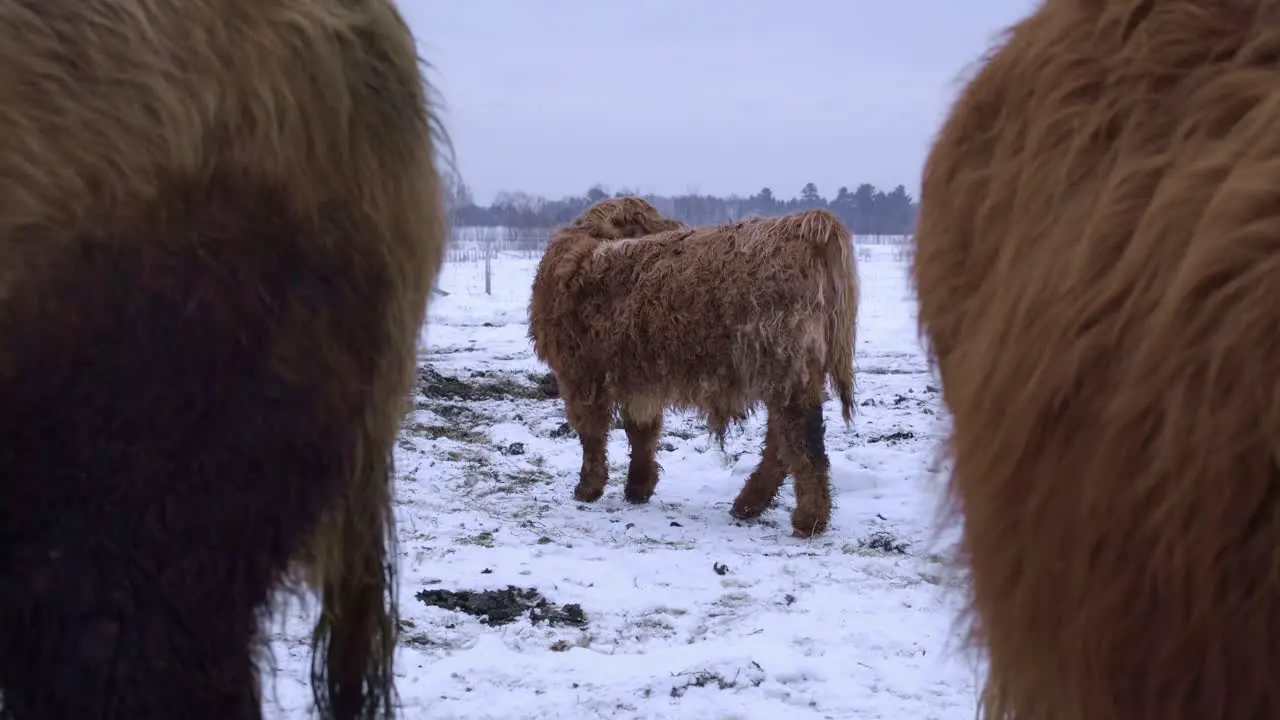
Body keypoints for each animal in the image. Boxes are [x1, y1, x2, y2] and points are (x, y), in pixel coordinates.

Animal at [529, 198, 860, 535]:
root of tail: (808, 227)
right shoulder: (640, 378)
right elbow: (642, 431)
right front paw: (638, 488)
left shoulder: (578, 373)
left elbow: (592, 433)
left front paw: (589, 488)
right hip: (792, 373)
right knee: (781, 442)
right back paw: (748, 505)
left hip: (786, 368)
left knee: (802, 440)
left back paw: (808, 519)